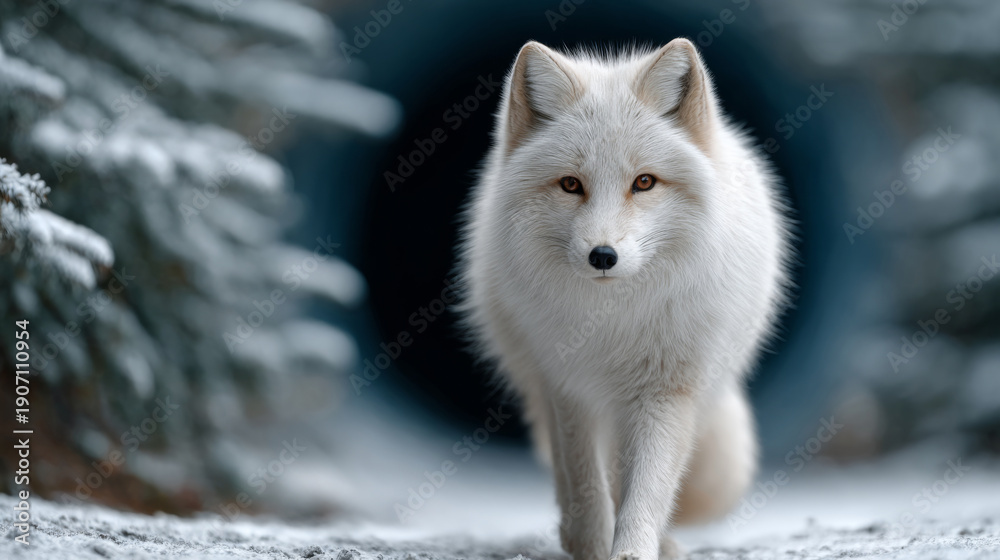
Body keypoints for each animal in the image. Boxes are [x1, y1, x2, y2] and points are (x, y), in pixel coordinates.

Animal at [457, 39, 791, 560]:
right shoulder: (567, 384)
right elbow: (582, 475)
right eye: (571, 184)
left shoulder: (667, 389)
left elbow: (646, 488)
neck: (613, 322)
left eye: (645, 182)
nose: (603, 256)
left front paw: (632, 548)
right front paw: (589, 541)